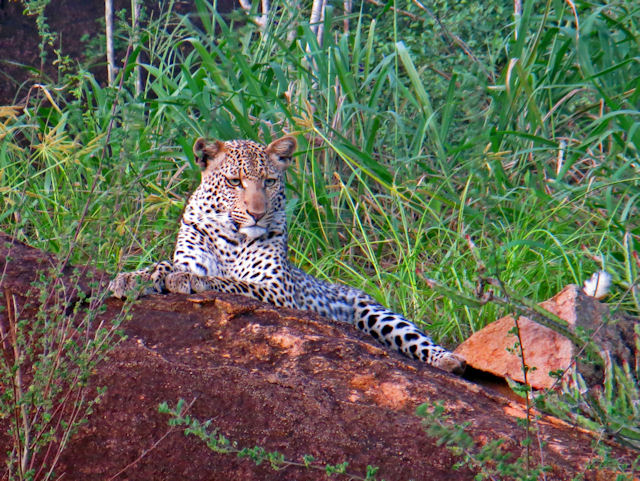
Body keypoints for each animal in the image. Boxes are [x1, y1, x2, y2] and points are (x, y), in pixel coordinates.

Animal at [109, 135, 466, 374]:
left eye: (269, 181)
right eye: (234, 181)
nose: (257, 214)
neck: (231, 237)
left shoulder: (277, 290)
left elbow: (230, 281)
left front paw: (189, 279)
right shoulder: (190, 253)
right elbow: (163, 263)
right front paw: (132, 278)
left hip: (376, 313)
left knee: (414, 337)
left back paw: (450, 361)